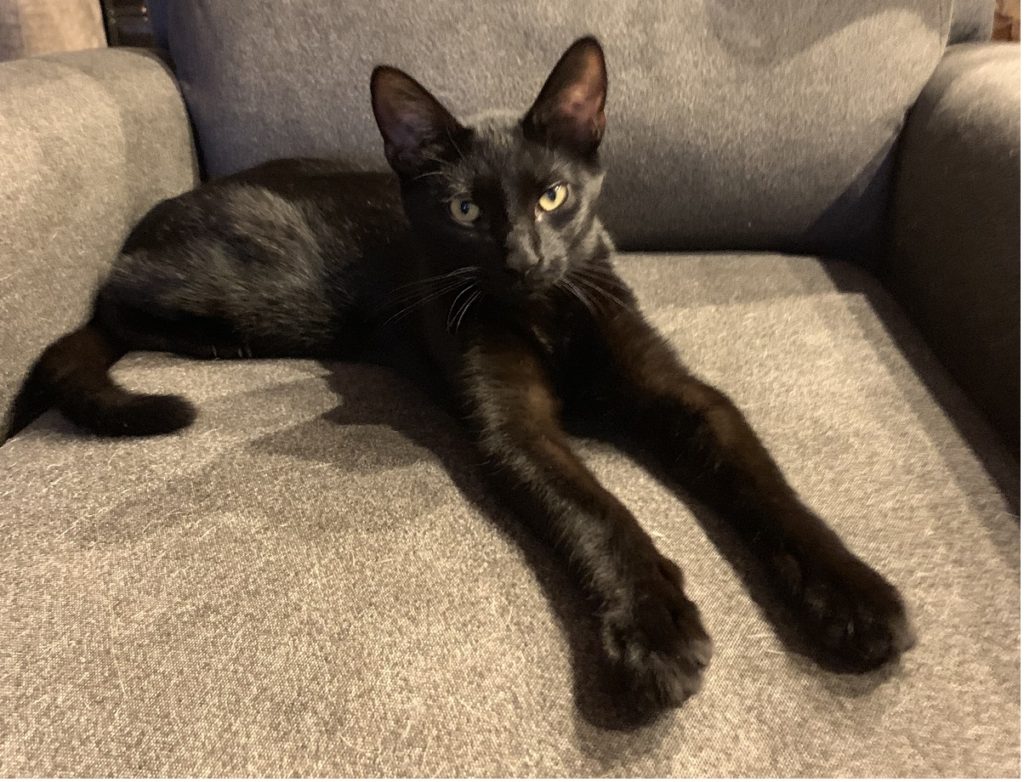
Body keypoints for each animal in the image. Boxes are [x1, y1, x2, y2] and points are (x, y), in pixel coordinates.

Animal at [2, 38, 913, 708]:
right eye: (467, 211)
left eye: (553, 198)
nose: (523, 258)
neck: (545, 312)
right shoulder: (512, 423)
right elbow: (596, 510)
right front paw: (653, 630)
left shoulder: (684, 395)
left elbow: (767, 488)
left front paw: (854, 596)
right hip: (247, 287)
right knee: (107, 304)